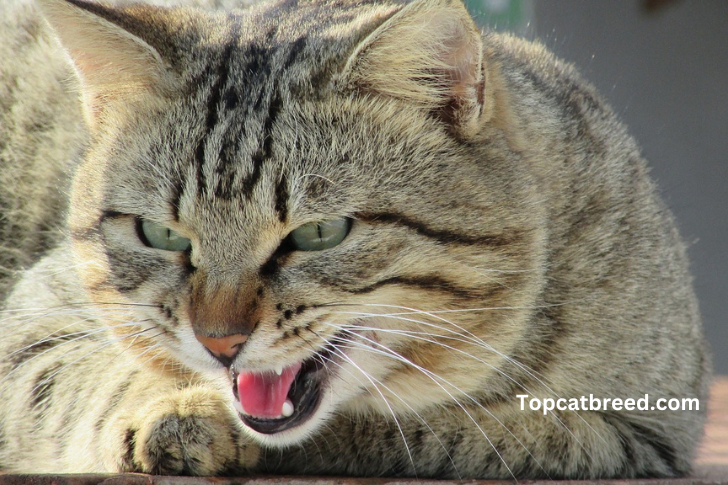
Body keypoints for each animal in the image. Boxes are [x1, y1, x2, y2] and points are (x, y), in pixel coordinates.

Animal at [0, 0, 708, 476]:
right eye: (160, 234)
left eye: (319, 232)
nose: (218, 341)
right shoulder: (33, 322)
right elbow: (89, 377)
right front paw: (175, 412)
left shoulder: (638, 429)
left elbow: (434, 430)